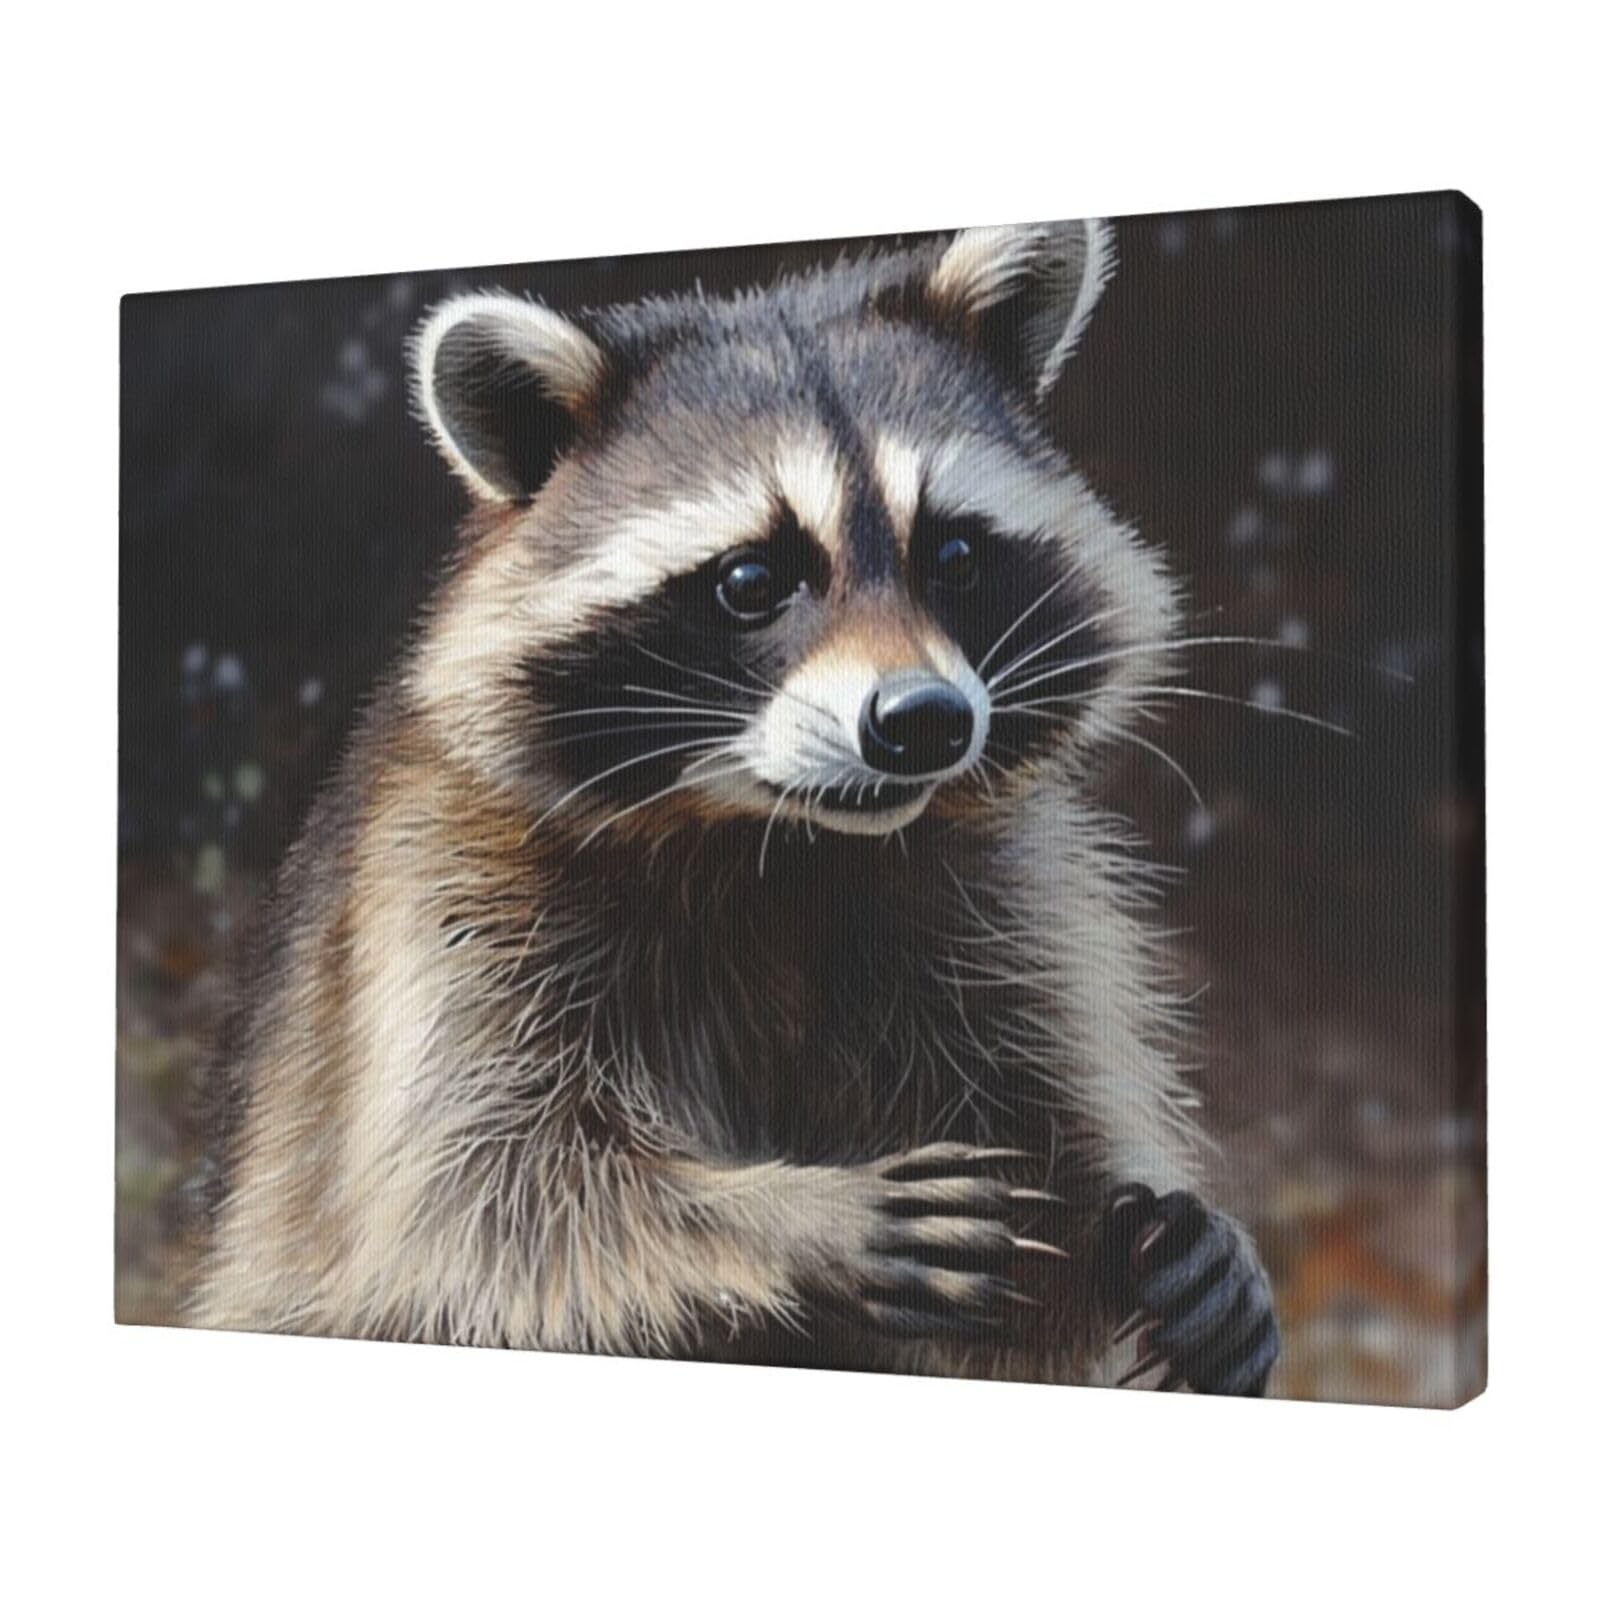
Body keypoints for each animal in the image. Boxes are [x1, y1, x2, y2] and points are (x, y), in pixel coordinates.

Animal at [191, 220, 1279, 1396]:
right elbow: (478, 1203)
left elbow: (1043, 1198)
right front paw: (791, 1217)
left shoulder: (997, 903)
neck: (781, 841)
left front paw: (1148, 1240)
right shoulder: (445, 894)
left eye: (952, 554)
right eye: (752, 580)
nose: (925, 721)